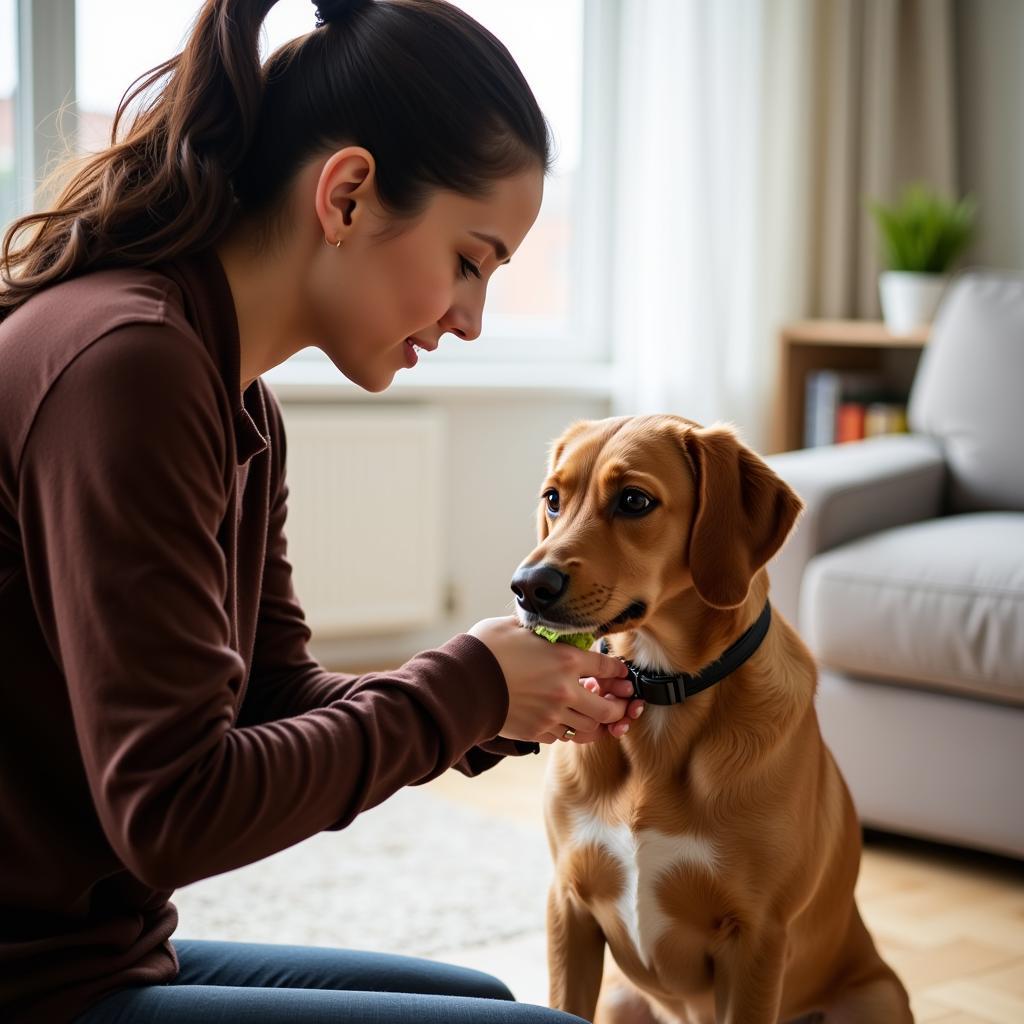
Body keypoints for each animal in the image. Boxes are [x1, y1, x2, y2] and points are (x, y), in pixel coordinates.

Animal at [512, 415, 913, 1024]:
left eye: (634, 500)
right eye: (553, 499)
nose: (527, 586)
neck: (661, 691)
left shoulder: (757, 938)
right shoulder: (569, 907)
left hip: (875, 998)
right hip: (623, 999)